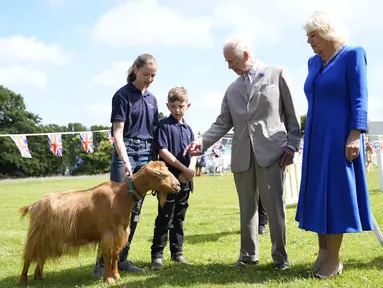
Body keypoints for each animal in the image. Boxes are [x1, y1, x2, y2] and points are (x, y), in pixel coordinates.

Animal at [17, 161, 180, 284]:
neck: (120, 196)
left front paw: (116, 276)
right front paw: (109, 279)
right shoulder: (108, 234)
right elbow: (107, 256)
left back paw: (39, 276)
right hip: (37, 235)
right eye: (162, 174)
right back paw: (24, 280)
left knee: (41, 255)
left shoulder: (120, 234)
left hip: (48, 237)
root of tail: (34, 205)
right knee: (29, 256)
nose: (178, 185)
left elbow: (115, 255)